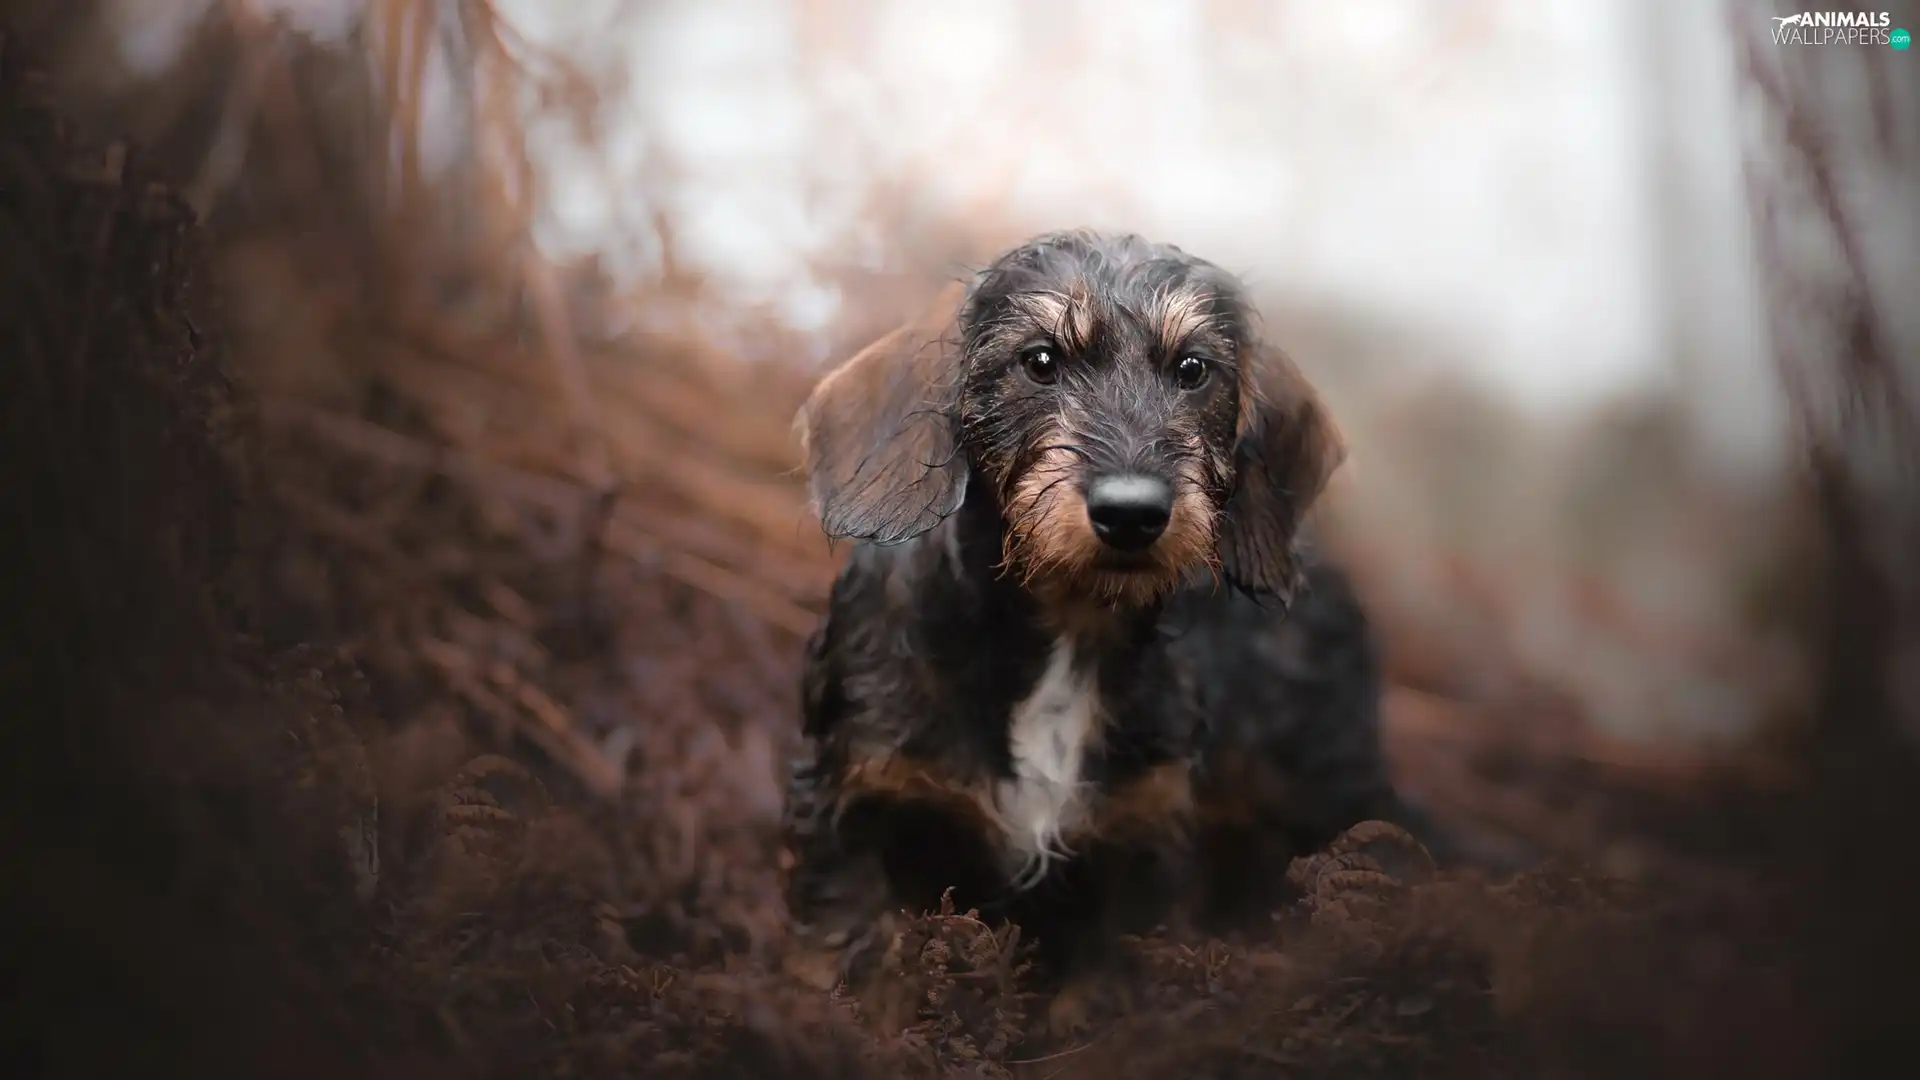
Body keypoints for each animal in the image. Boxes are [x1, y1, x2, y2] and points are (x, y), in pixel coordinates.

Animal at [775, 231, 1428, 1030]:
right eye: (1040, 360)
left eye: (1193, 370)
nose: (1132, 513)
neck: (1068, 629)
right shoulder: (854, 795)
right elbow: (851, 937)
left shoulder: (1137, 843)